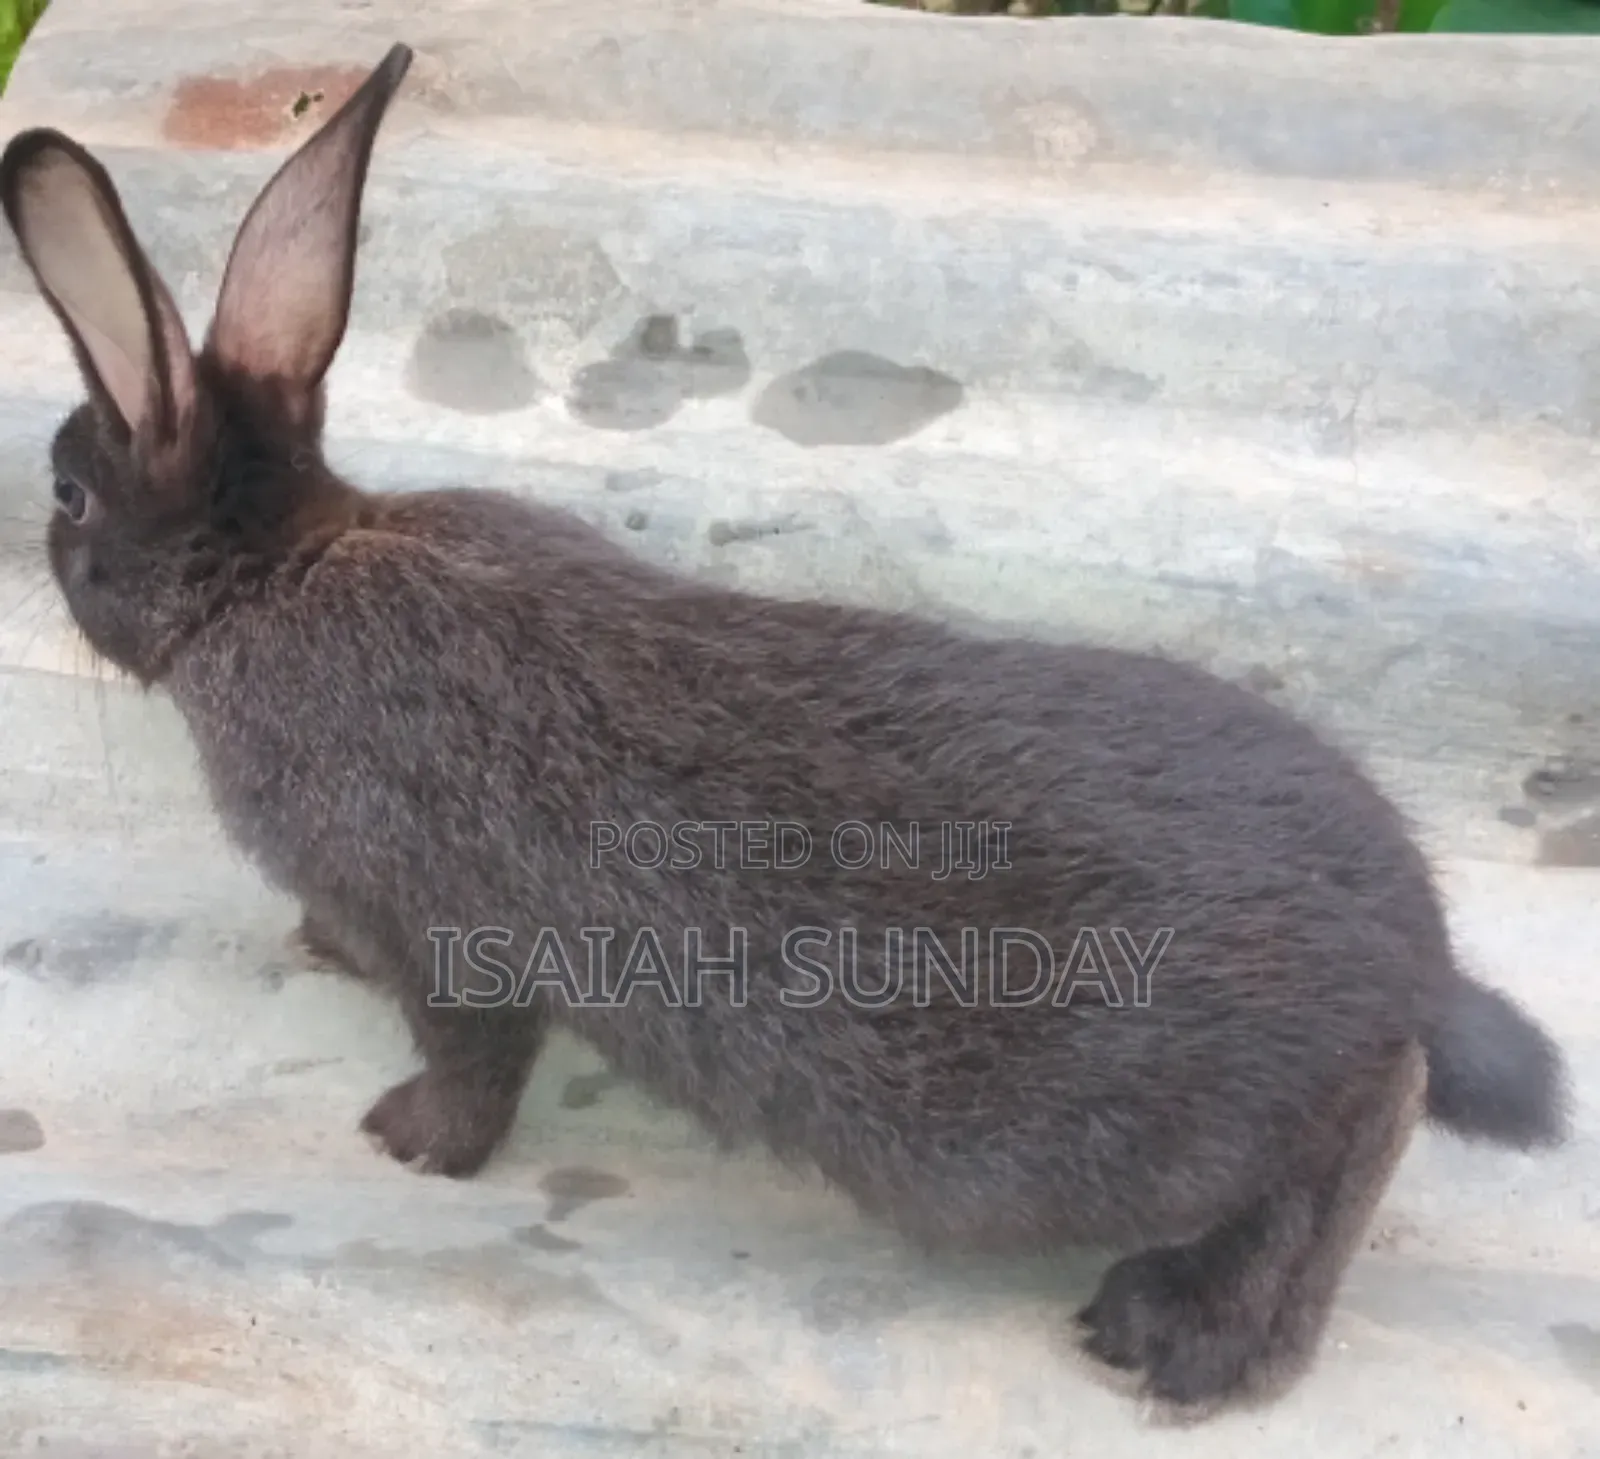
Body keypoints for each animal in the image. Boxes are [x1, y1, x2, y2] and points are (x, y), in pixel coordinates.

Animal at [0, 42, 1571, 1419]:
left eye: (70, 497)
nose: (42, 534)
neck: (276, 575)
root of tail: (1412, 959)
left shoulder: (445, 925)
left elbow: (470, 1057)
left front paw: (408, 1142)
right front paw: (322, 957)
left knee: (1361, 1129)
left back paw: (1184, 1335)